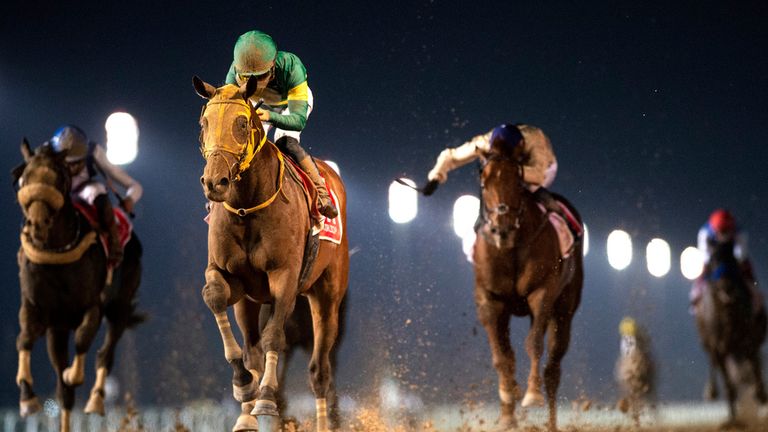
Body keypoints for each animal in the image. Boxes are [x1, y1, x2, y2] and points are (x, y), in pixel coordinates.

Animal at [14, 140, 143, 430]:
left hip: (119, 307)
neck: (57, 253)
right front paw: (27, 399)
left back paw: (95, 399)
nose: (37, 223)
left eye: (58, 177)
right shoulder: (37, 308)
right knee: (65, 394)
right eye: (24, 179)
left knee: (105, 353)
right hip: (58, 329)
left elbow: (84, 340)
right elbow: (24, 339)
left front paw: (73, 374)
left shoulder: (92, 305)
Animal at [194, 76, 350, 430]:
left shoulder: (285, 276)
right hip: (250, 302)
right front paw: (243, 385)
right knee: (252, 347)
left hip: (328, 295)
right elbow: (214, 297)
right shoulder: (227, 274)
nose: (214, 182)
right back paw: (245, 413)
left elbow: (274, 338)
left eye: (241, 123)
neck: (246, 206)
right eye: (204, 122)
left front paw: (265, 399)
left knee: (320, 372)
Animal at [472, 140, 584, 430]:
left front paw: (532, 394)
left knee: (553, 368)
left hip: (564, 310)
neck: (510, 247)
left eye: (518, 181)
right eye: (484, 182)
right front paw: (507, 406)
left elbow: (533, 343)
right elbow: (502, 357)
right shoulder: (490, 300)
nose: (502, 228)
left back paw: (552, 423)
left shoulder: (542, 294)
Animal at [692, 240, 764, 428]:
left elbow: (755, 367)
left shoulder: (748, 341)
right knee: (715, 364)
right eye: (713, 259)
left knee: (754, 365)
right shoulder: (718, 347)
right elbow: (728, 384)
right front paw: (732, 421)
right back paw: (712, 392)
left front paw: (760, 395)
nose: (727, 287)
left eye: (732, 258)